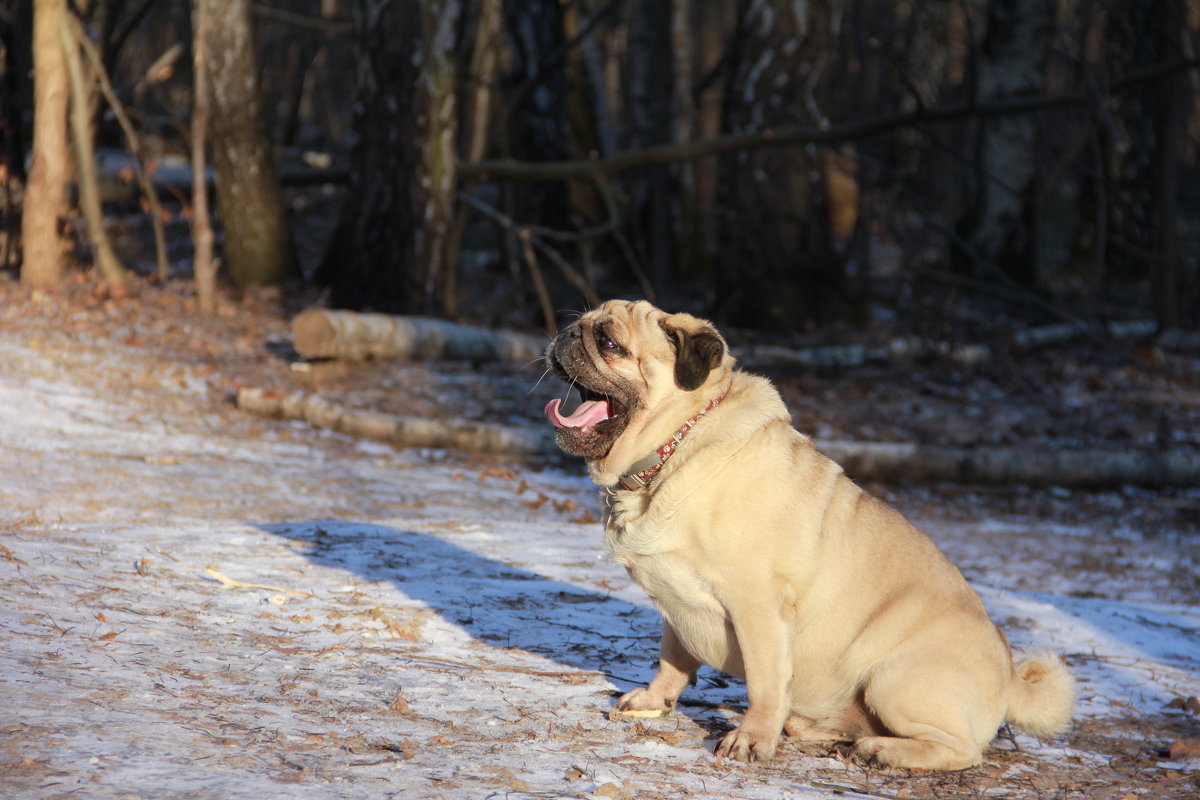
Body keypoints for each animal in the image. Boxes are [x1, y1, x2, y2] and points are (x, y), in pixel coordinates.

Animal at [540, 298, 1075, 767]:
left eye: (609, 342)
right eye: (579, 323)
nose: (567, 333)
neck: (676, 447)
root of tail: (1010, 677)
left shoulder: (758, 608)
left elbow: (765, 685)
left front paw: (752, 739)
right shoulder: (676, 603)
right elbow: (673, 659)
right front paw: (655, 700)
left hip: (893, 681)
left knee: (960, 751)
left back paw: (884, 753)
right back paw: (815, 729)